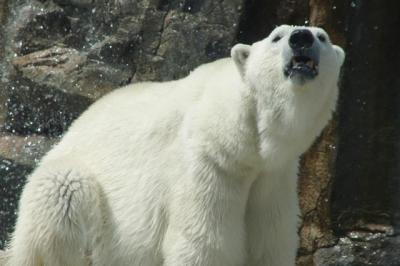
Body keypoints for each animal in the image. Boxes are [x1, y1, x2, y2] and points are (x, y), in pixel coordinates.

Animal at [3, 25, 344, 266]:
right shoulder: (207, 164)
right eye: (277, 36)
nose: (301, 38)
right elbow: (205, 244)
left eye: (323, 36)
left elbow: (270, 244)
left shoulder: (274, 177)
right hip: (71, 197)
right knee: (62, 194)